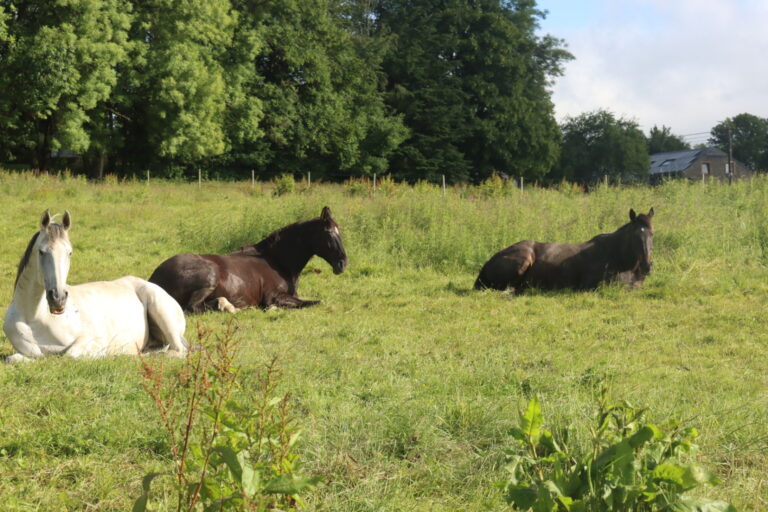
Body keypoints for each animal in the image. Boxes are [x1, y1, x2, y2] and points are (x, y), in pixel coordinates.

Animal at [3, 211, 189, 363]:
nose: (58, 298)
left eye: (69, 252)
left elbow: (69, 355)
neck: (35, 317)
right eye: (41, 252)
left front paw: (106, 355)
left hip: (161, 311)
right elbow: (15, 358)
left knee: (177, 351)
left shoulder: (92, 339)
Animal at [148, 206, 348, 313]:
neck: (277, 262)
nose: (343, 264)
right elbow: (311, 302)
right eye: (329, 234)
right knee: (192, 308)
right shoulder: (273, 297)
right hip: (209, 277)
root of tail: (154, 279)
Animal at [474, 208, 654, 293]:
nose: (647, 265)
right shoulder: (591, 285)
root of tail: (485, 266)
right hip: (523, 259)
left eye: (652, 233)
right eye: (634, 235)